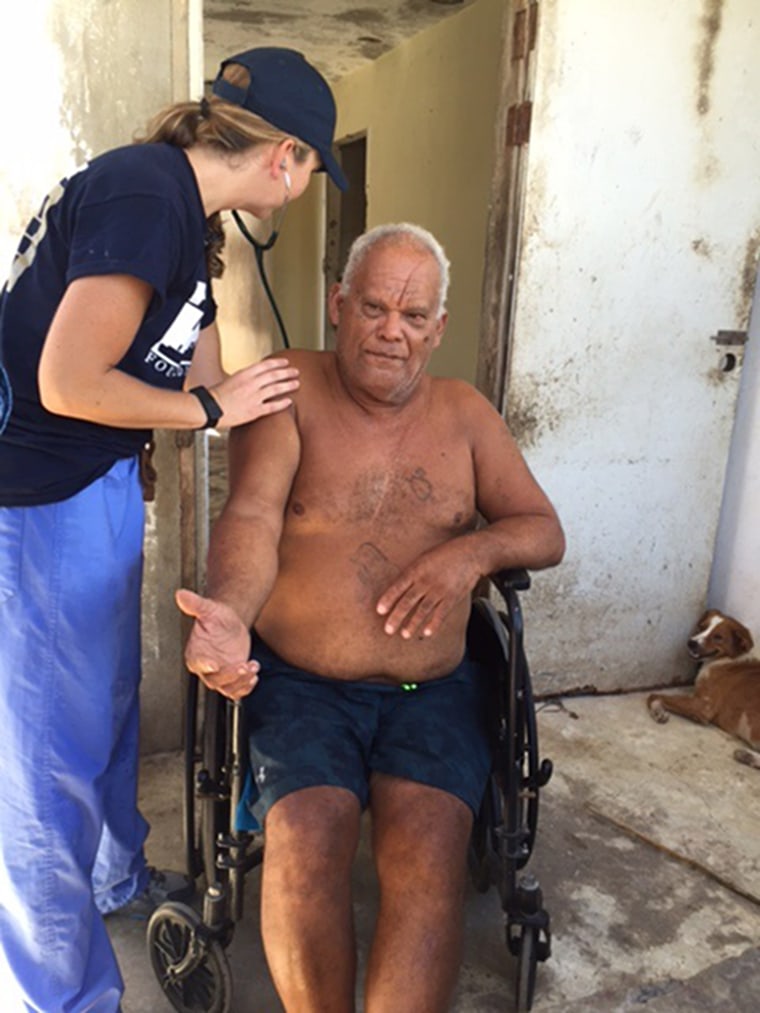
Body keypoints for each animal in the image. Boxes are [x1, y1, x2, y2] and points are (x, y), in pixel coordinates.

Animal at [648, 607, 760, 765]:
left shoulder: (705, 706)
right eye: (702, 627)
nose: (691, 643)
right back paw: (747, 756)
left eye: (718, 637)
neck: (728, 660)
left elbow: (653, 695)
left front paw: (657, 711)